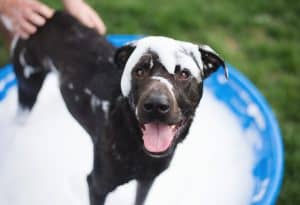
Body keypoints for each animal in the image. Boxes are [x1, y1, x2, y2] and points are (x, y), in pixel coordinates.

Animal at [11, 10, 227, 205]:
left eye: (184, 74)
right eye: (139, 71)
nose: (156, 106)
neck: (137, 143)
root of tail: (49, 15)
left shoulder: (147, 180)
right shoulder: (97, 186)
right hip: (28, 87)